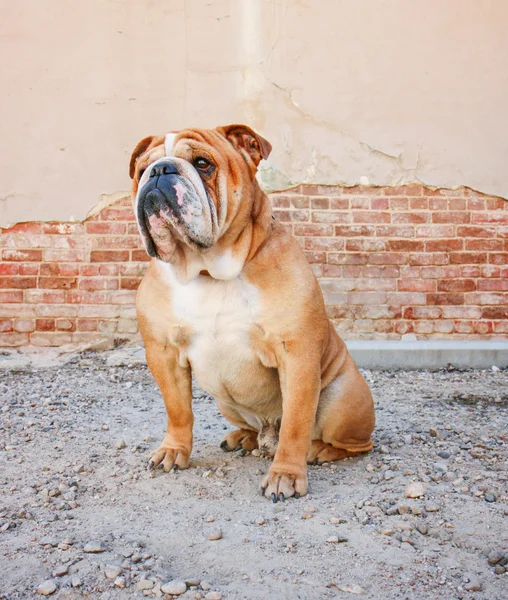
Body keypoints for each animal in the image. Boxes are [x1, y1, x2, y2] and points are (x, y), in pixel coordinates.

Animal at [128, 125, 374, 502]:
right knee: (252, 427)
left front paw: (286, 474)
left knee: (353, 443)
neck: (207, 271)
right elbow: (177, 409)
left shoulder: (296, 354)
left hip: (342, 400)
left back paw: (318, 450)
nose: (159, 172)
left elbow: (296, 423)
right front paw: (173, 449)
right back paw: (242, 437)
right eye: (142, 170)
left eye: (203, 164)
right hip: (224, 399)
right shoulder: (163, 353)